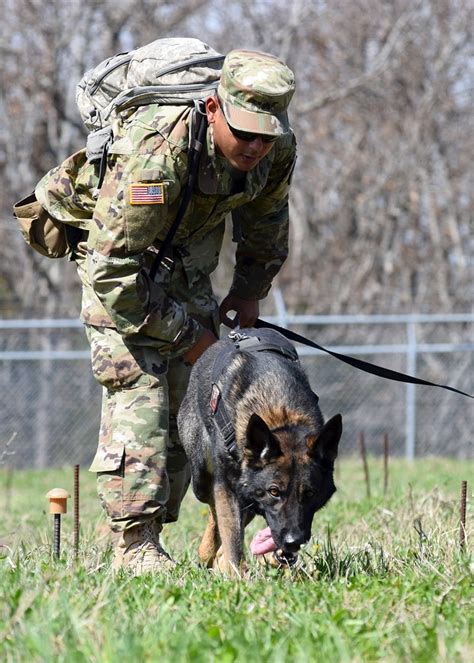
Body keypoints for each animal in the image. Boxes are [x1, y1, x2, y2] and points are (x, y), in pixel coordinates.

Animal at [177, 328, 340, 576]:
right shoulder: (228, 487)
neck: (281, 417)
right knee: (214, 510)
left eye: (310, 493)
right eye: (274, 491)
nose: (293, 541)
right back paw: (209, 553)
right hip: (202, 480)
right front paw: (234, 575)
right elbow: (231, 537)